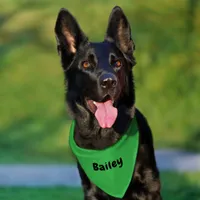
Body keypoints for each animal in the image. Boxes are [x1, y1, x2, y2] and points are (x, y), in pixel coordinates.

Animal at [54, 6, 162, 200]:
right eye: (86, 64)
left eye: (117, 63)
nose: (109, 82)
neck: (104, 135)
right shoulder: (91, 191)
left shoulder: (150, 186)